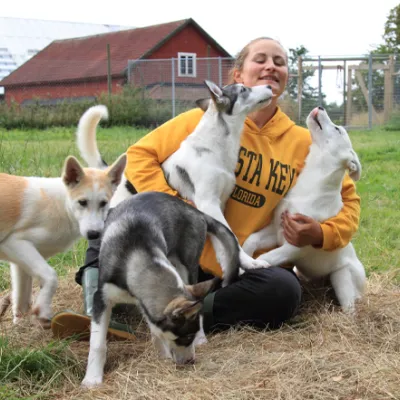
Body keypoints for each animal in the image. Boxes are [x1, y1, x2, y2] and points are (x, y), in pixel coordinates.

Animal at [0, 154, 125, 328]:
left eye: (103, 203)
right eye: (82, 202)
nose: (94, 234)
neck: (62, 206)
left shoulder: (20, 263)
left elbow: (22, 300)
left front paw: (20, 324)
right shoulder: (14, 243)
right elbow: (51, 276)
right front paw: (43, 310)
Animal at [242, 108, 368, 314]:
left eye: (337, 129)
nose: (321, 107)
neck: (312, 183)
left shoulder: (295, 246)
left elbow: (267, 256)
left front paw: (248, 267)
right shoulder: (277, 229)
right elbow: (251, 240)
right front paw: (244, 259)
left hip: (342, 280)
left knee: (350, 310)